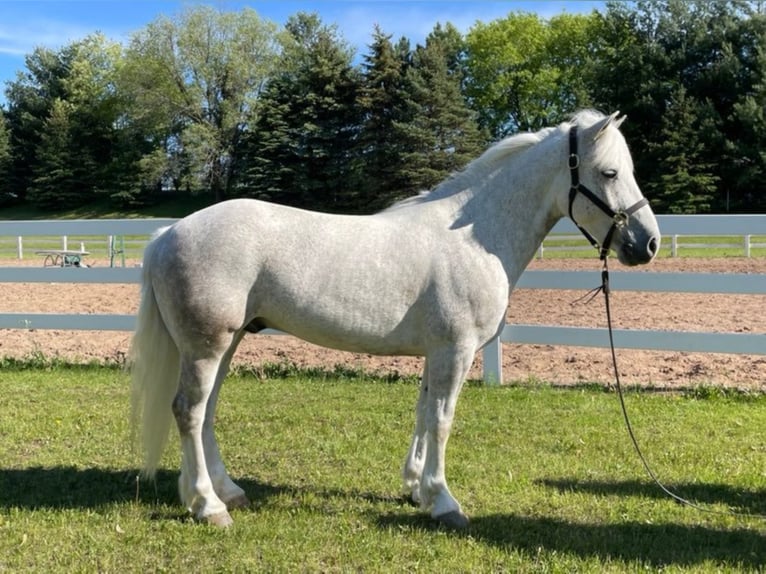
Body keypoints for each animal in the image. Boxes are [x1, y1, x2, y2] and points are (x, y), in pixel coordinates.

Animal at [130, 110, 660, 528]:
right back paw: (208, 506)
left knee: (206, 412)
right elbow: (443, 420)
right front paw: (444, 501)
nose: (648, 243)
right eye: (609, 171)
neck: (475, 236)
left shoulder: (437, 352)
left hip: (227, 341)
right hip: (207, 344)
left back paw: (227, 491)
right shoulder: (455, 350)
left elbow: (424, 414)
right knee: (189, 411)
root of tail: (169, 232)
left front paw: (416, 489)